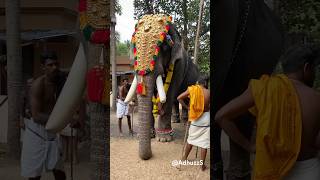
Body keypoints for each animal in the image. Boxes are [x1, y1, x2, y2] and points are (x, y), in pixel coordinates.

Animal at [125, 14, 200, 160]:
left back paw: (184, 122)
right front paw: (150, 135)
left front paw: (164, 139)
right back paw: (176, 120)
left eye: (165, 46)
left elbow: (169, 93)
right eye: (135, 46)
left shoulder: (179, 65)